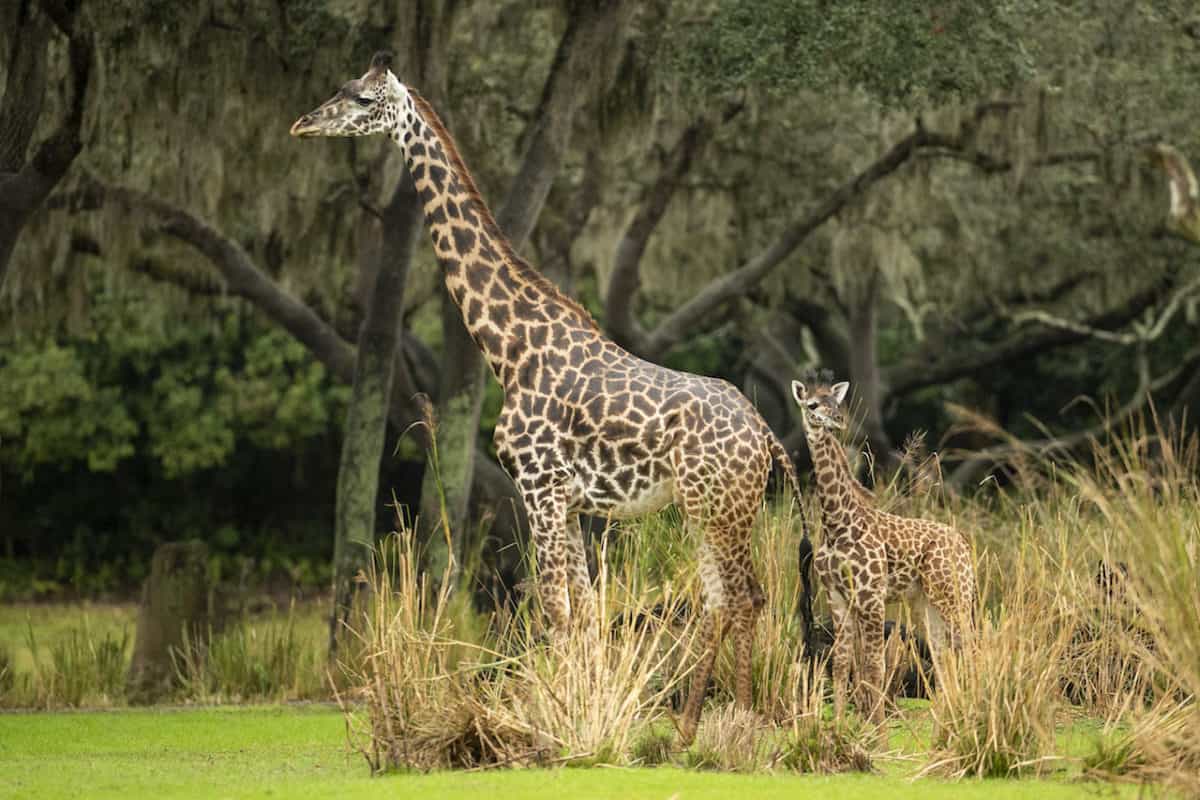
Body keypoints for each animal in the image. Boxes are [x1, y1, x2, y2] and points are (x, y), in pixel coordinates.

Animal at [291, 52, 810, 743]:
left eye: (362, 99)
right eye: (341, 88)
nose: (302, 123)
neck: (509, 349)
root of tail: (767, 437)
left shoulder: (538, 487)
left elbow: (556, 610)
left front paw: (562, 725)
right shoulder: (566, 500)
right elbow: (582, 611)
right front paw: (584, 718)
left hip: (721, 506)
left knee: (748, 595)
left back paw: (744, 726)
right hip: (710, 509)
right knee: (722, 598)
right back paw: (689, 729)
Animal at [791, 377, 976, 724]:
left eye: (836, 403)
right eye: (812, 404)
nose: (837, 420)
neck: (838, 523)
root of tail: (964, 545)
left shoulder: (871, 596)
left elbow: (873, 666)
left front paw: (876, 727)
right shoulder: (837, 595)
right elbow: (842, 664)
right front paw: (838, 725)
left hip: (954, 594)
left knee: (970, 644)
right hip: (926, 601)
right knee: (943, 651)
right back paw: (950, 716)